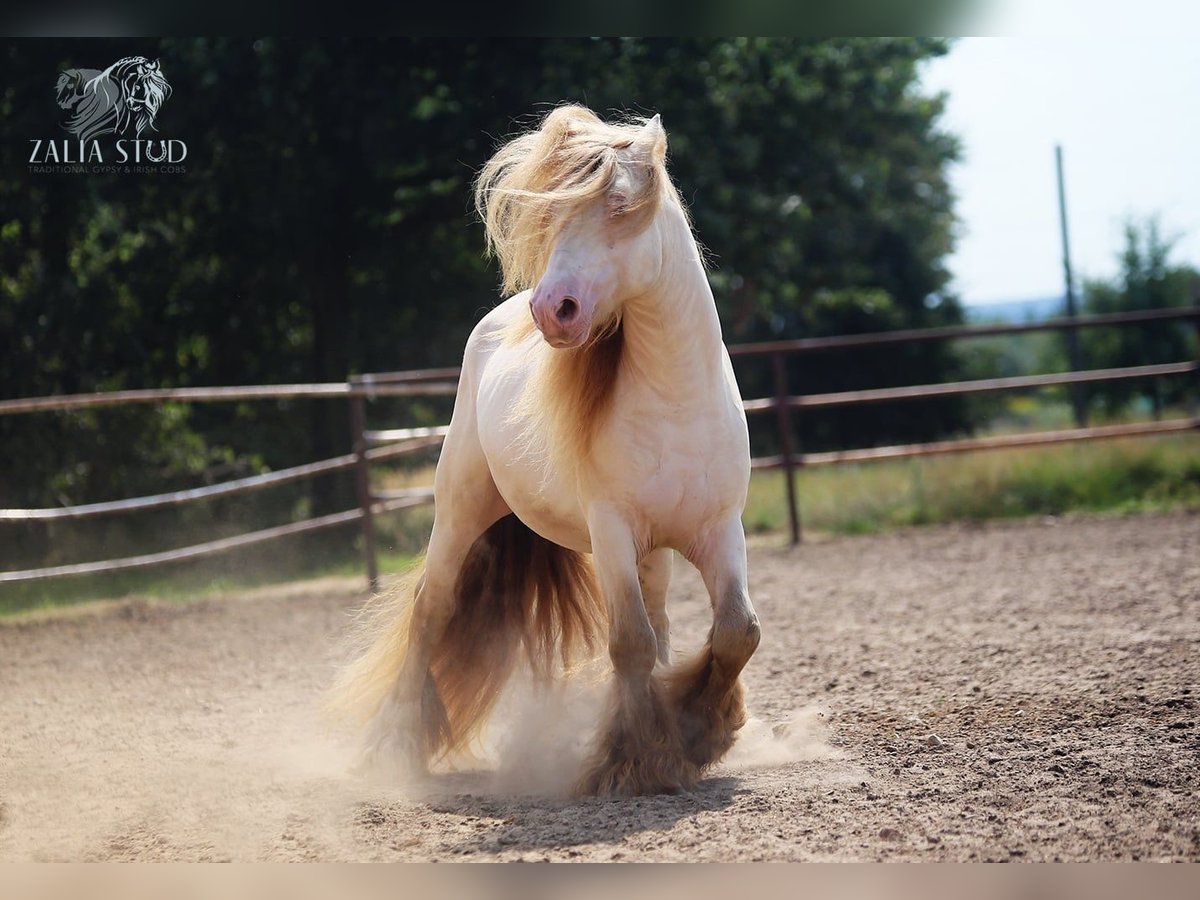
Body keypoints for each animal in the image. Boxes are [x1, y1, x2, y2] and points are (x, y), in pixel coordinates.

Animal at [336, 105, 758, 796]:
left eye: (619, 204)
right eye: (554, 215)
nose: (552, 310)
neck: (675, 404)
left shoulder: (719, 530)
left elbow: (735, 633)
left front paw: (699, 732)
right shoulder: (611, 532)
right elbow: (631, 642)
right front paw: (637, 762)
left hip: (653, 554)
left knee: (666, 624)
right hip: (460, 512)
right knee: (431, 611)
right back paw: (394, 747)